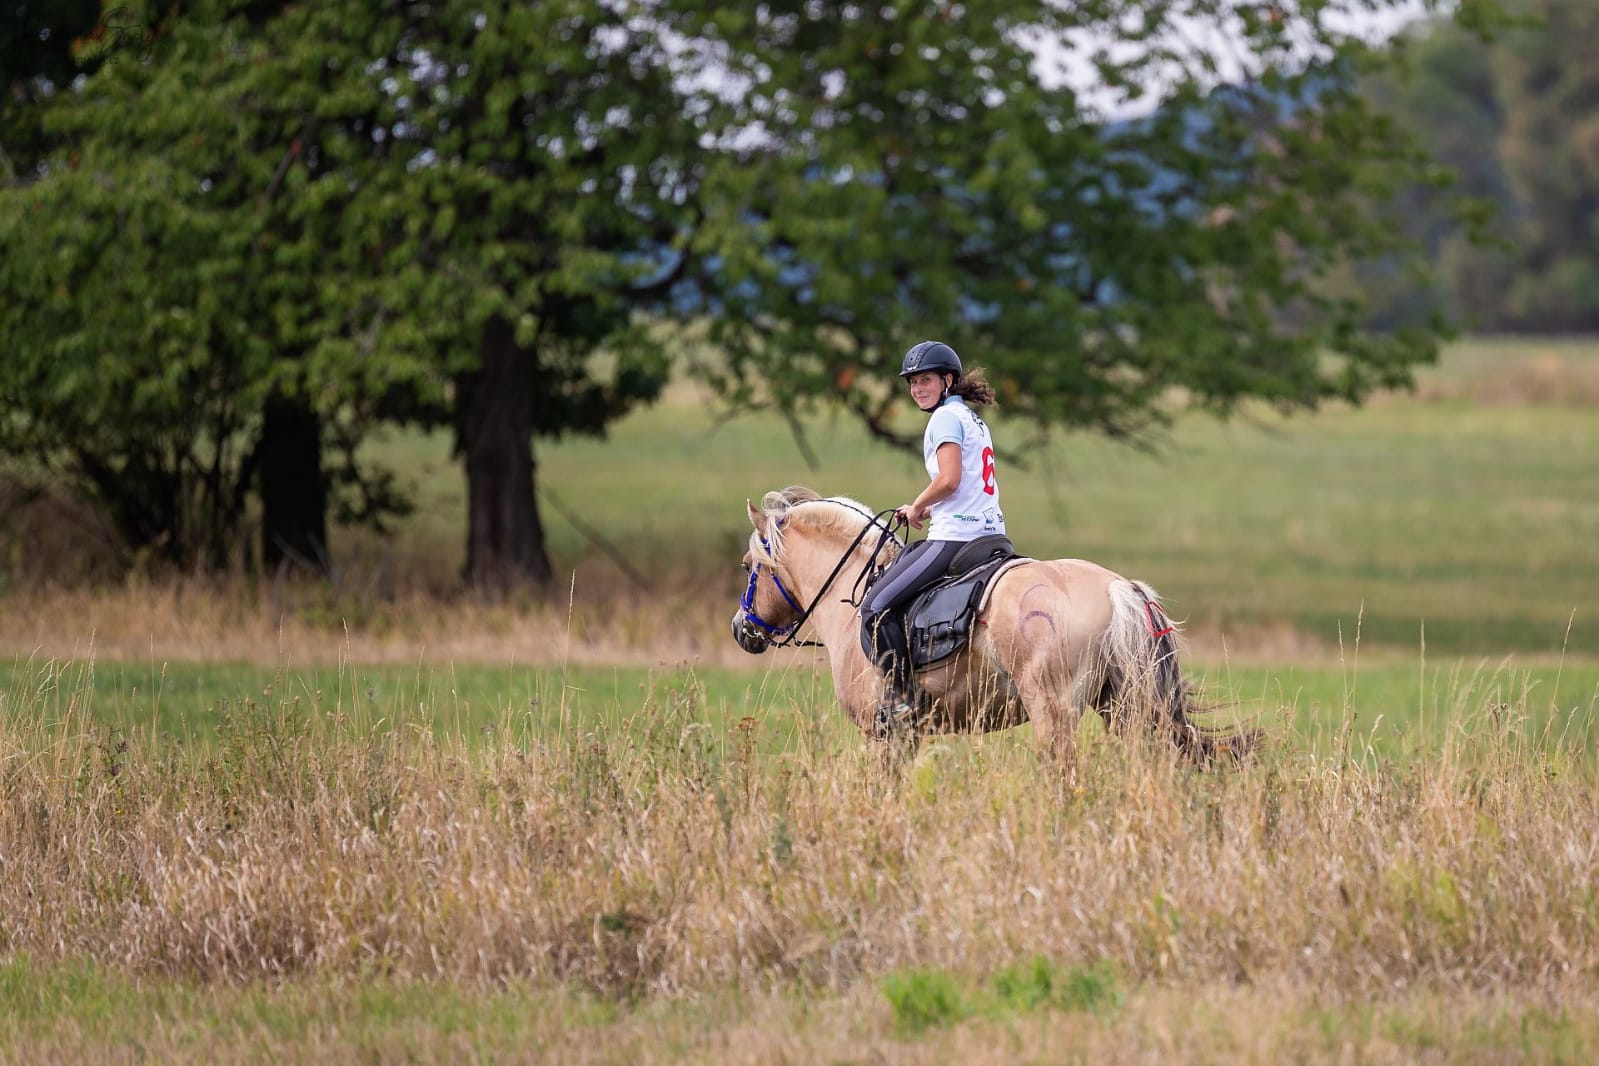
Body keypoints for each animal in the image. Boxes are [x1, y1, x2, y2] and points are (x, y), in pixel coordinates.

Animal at [732, 482, 1253, 767]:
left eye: (748, 566)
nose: (742, 629)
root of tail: (1116, 587)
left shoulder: (882, 734)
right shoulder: (907, 736)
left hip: (1054, 712)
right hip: (1124, 707)